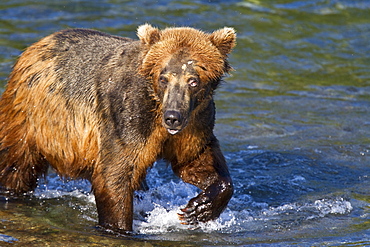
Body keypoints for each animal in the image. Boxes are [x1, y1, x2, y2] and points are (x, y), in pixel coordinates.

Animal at [0, 24, 236, 233]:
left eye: (193, 80)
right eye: (163, 77)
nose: (172, 118)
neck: (157, 108)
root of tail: (36, 45)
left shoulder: (195, 122)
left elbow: (194, 158)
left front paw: (199, 208)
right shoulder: (126, 117)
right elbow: (115, 173)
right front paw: (119, 228)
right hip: (31, 120)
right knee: (16, 166)